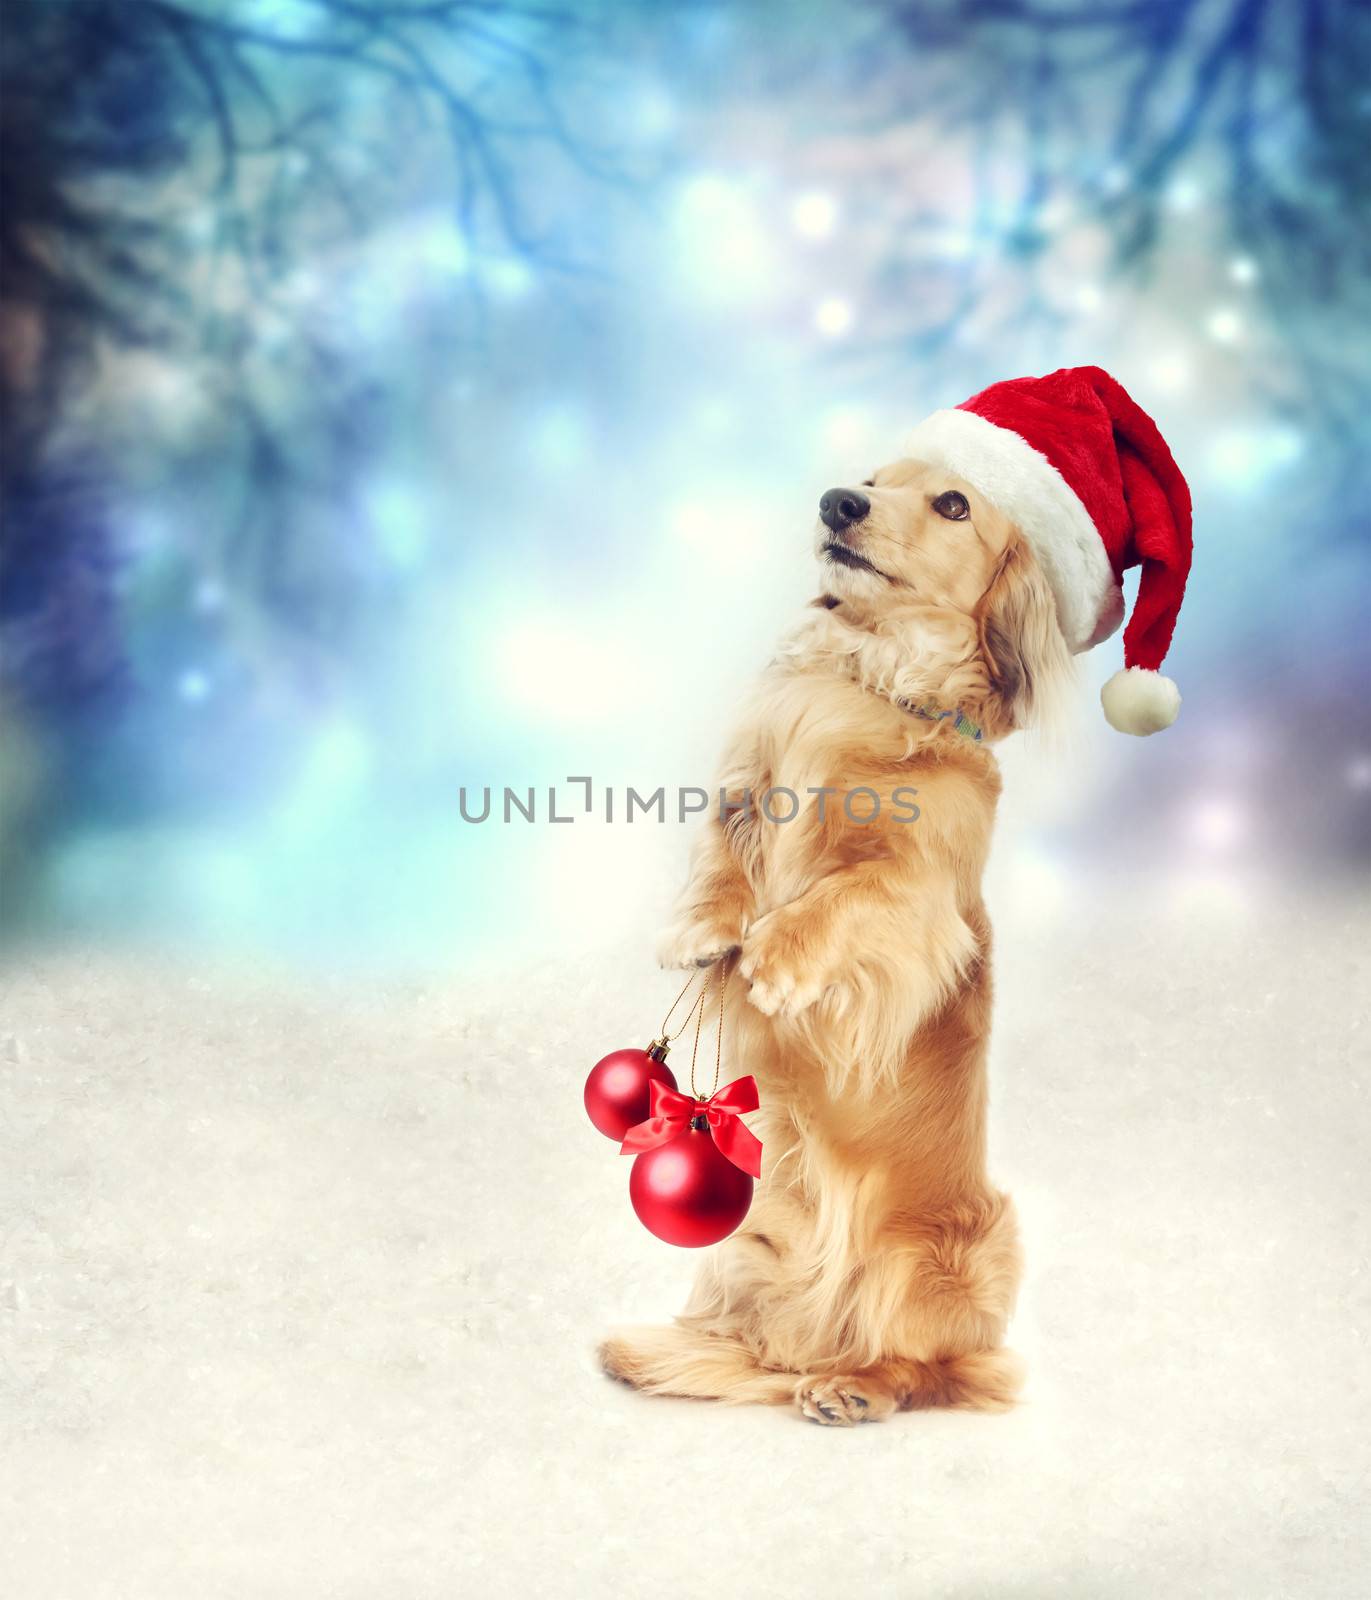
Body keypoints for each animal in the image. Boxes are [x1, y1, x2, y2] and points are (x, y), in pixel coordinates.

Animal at [595, 451, 1075, 1427]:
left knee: (924, 1370)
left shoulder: (920, 897)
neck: (868, 680)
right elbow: (722, 858)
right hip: (737, 1248)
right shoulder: (742, 791)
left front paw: (774, 958)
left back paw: (853, 1391)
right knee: (759, 1350)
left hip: (960, 1254)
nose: (836, 503)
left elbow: (849, 891)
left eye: (953, 503)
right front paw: (703, 931)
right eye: (871, 479)